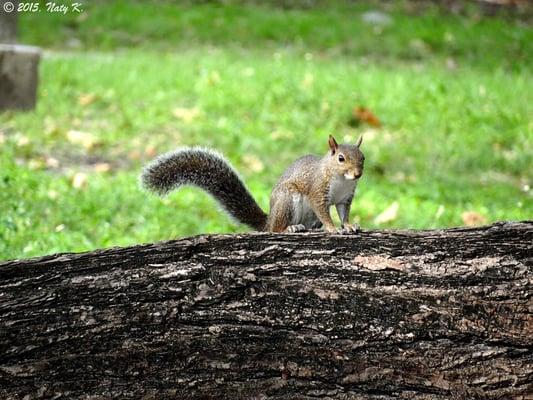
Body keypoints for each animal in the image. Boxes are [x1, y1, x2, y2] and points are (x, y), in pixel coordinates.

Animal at [140, 136, 366, 233]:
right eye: (341, 159)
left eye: (363, 157)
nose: (357, 174)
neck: (341, 181)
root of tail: (270, 218)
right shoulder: (317, 190)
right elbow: (323, 210)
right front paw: (333, 228)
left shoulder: (345, 198)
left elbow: (343, 212)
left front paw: (349, 225)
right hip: (287, 200)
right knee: (275, 230)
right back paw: (290, 228)